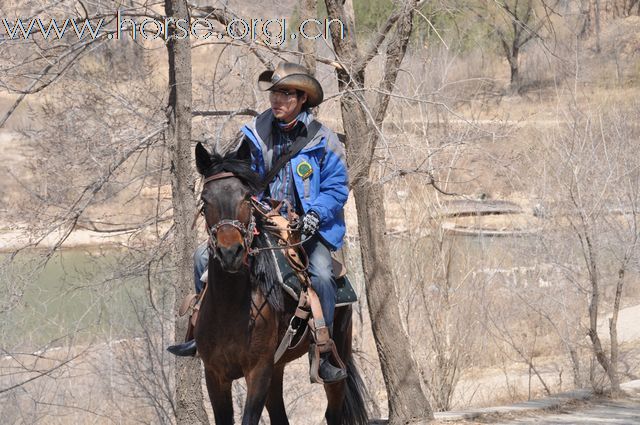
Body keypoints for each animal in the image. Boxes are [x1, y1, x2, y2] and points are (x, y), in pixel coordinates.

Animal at [192, 140, 368, 424]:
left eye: (245, 196)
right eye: (205, 200)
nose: (231, 252)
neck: (231, 307)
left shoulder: (258, 371)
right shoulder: (215, 375)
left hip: (336, 356)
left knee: (333, 411)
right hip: (277, 367)